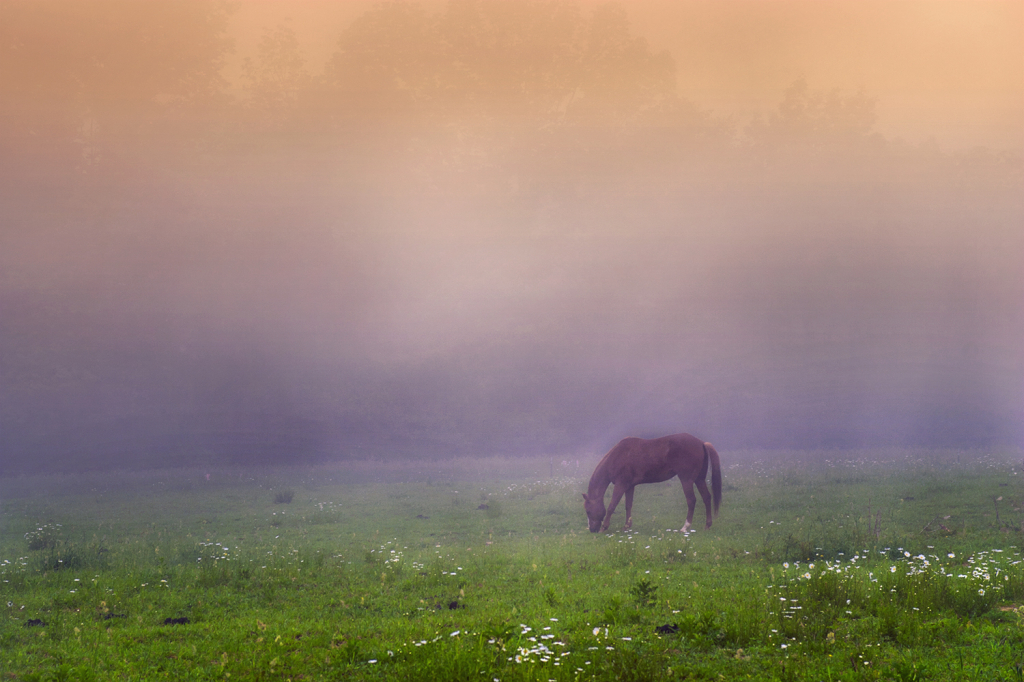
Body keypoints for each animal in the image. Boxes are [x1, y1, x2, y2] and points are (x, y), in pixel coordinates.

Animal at [585, 432, 720, 532]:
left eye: (588, 510)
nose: (592, 529)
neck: (617, 456)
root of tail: (701, 443)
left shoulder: (620, 485)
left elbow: (612, 506)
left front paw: (604, 527)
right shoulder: (629, 486)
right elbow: (628, 505)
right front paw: (627, 526)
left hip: (687, 480)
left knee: (691, 500)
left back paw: (685, 527)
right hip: (699, 480)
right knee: (707, 497)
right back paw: (707, 525)